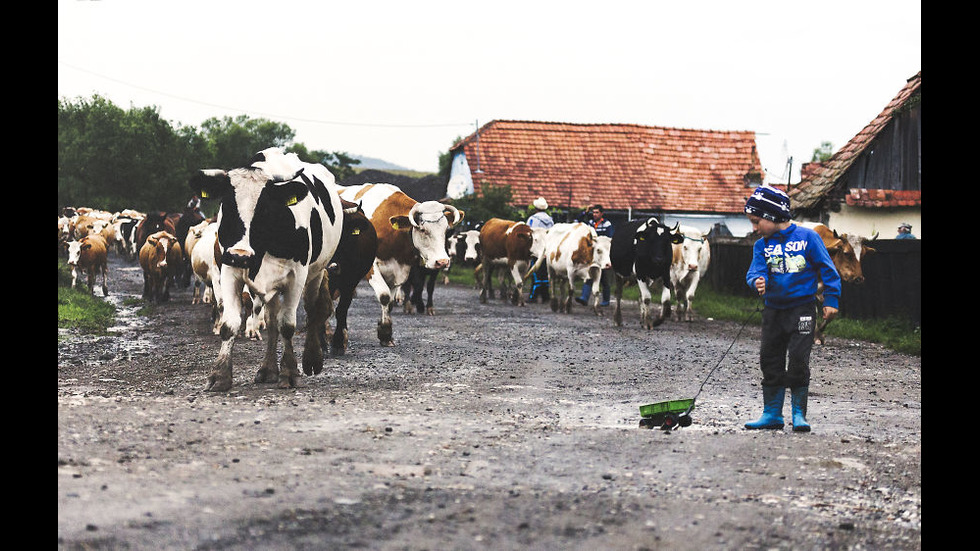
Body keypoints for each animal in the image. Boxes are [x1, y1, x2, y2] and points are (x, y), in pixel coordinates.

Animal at [190, 146, 344, 388]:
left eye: (264, 207)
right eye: (227, 204)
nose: (240, 255)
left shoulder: (296, 276)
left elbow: (288, 325)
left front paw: (289, 372)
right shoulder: (229, 270)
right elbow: (230, 324)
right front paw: (220, 375)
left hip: (316, 272)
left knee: (312, 310)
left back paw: (311, 359)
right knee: (271, 321)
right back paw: (268, 369)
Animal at [338, 183, 466, 344]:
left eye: (445, 230)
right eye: (423, 229)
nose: (442, 261)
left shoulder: (400, 269)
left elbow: (391, 302)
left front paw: (386, 333)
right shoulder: (371, 267)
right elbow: (384, 295)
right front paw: (385, 330)